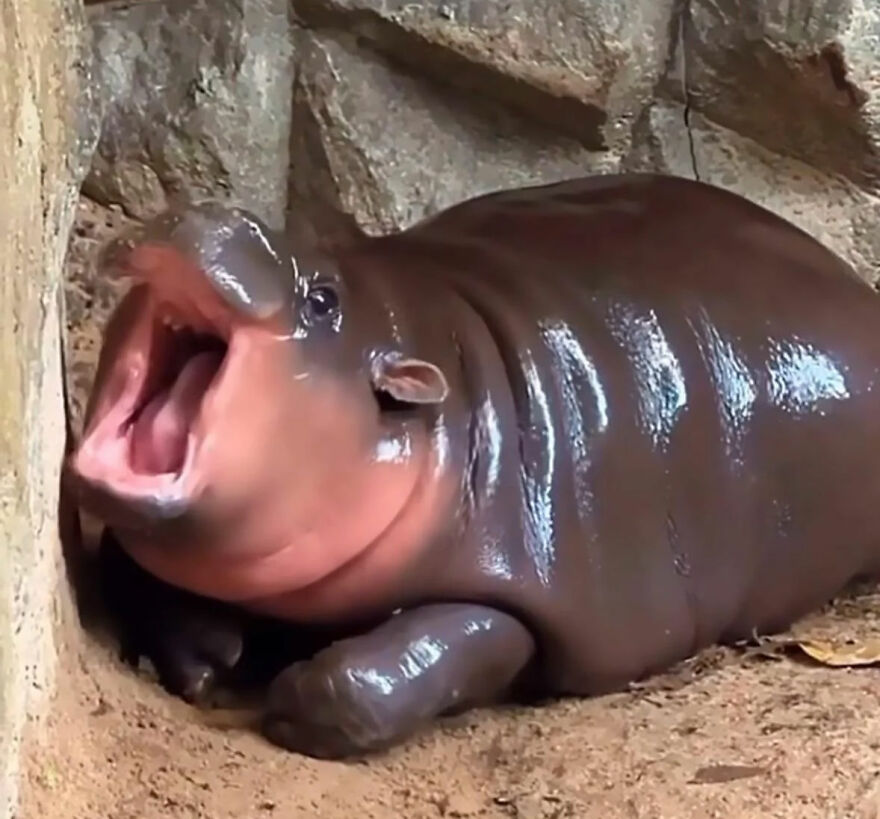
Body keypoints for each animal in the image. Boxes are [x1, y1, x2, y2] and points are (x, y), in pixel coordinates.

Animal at [67, 172, 880, 759]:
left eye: (322, 299)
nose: (208, 213)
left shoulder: (530, 586)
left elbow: (429, 651)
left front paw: (290, 700)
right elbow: (128, 561)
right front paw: (209, 655)